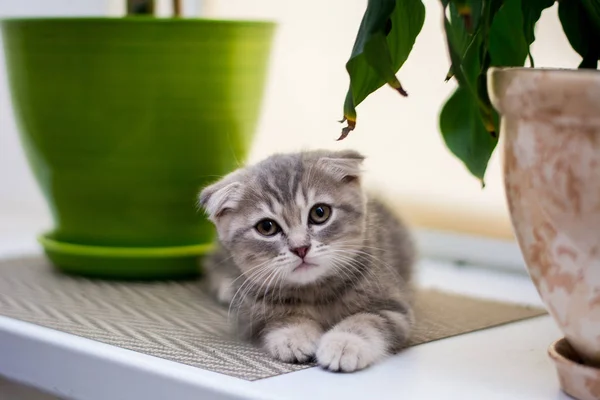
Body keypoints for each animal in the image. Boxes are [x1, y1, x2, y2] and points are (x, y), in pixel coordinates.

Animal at [199, 150, 414, 372]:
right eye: (266, 227)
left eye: (320, 213)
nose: (300, 248)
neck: (315, 291)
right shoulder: (250, 317)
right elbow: (279, 318)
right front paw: (294, 336)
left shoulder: (395, 308)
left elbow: (367, 319)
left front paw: (344, 344)